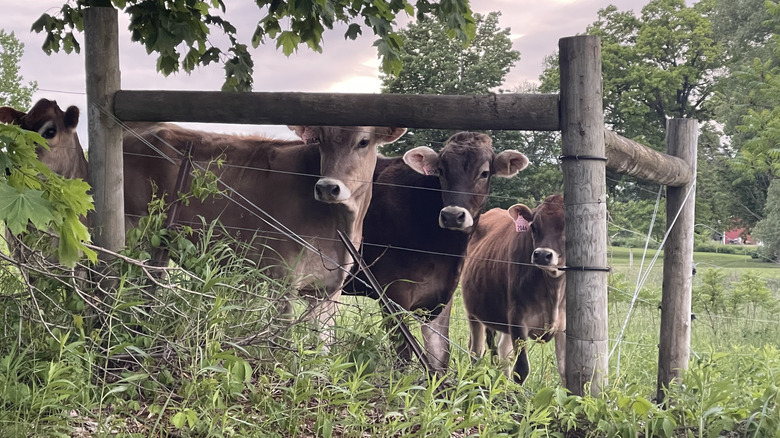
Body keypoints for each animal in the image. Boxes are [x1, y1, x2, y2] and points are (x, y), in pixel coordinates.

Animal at [122, 122, 406, 339]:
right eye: (321, 141)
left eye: (363, 142)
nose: (327, 187)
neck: (339, 226)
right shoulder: (283, 278)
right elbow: (282, 340)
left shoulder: (329, 290)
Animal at [342, 132, 529, 374]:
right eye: (441, 170)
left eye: (484, 173)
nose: (452, 216)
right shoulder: (392, 293)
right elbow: (403, 357)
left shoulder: (441, 297)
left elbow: (439, 358)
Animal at [460, 194, 566, 385]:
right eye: (533, 226)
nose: (542, 255)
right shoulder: (518, 318)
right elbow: (521, 369)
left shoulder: (565, 326)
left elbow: (565, 370)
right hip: (473, 312)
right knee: (476, 350)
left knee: (502, 352)